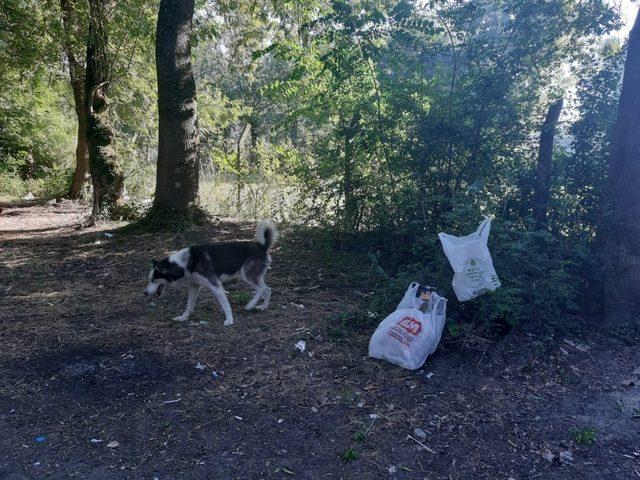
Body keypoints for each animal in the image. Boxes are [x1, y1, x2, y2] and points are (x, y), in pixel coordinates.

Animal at [144, 221, 276, 326]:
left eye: (153, 280)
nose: (144, 293)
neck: (185, 262)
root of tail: (262, 246)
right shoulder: (194, 285)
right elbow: (189, 305)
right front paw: (183, 318)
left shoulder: (215, 285)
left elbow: (226, 306)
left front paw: (229, 320)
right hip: (254, 277)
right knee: (268, 290)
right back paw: (263, 307)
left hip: (246, 276)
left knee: (261, 290)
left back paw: (250, 305)